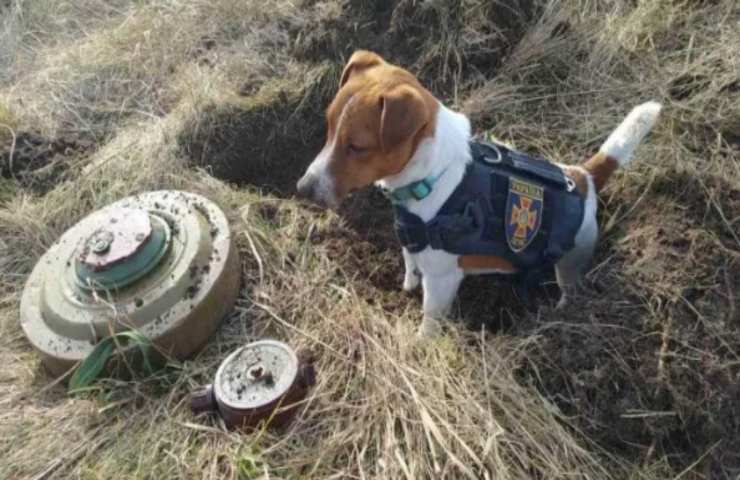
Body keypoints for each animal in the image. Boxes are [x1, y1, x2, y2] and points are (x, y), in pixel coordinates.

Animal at [298, 50, 660, 336]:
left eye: (358, 147)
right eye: (328, 127)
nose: (302, 188)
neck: (434, 174)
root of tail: (583, 177)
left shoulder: (442, 280)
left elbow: (429, 320)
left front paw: (419, 343)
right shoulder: (411, 241)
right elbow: (410, 263)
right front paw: (407, 285)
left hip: (571, 262)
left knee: (569, 288)